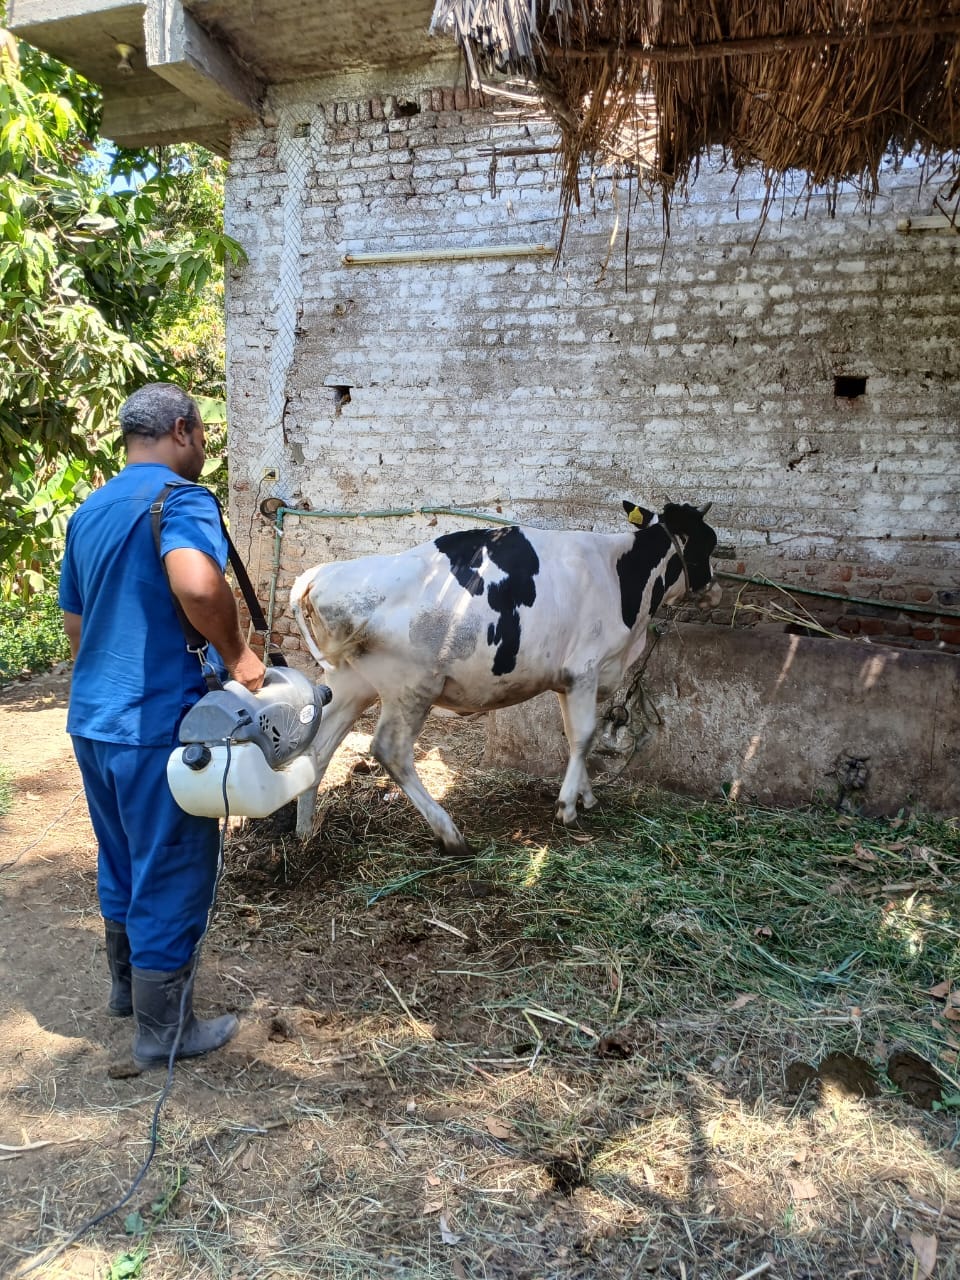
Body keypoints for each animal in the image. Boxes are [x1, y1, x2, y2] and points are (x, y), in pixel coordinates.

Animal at [291, 496, 721, 849]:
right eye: (707, 543)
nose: (715, 590)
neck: (621, 577)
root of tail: (320, 576)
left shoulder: (570, 681)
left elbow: (574, 736)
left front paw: (585, 795)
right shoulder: (585, 669)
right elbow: (584, 736)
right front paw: (568, 807)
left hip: (352, 682)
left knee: (319, 747)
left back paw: (305, 832)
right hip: (411, 686)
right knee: (389, 750)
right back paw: (451, 835)